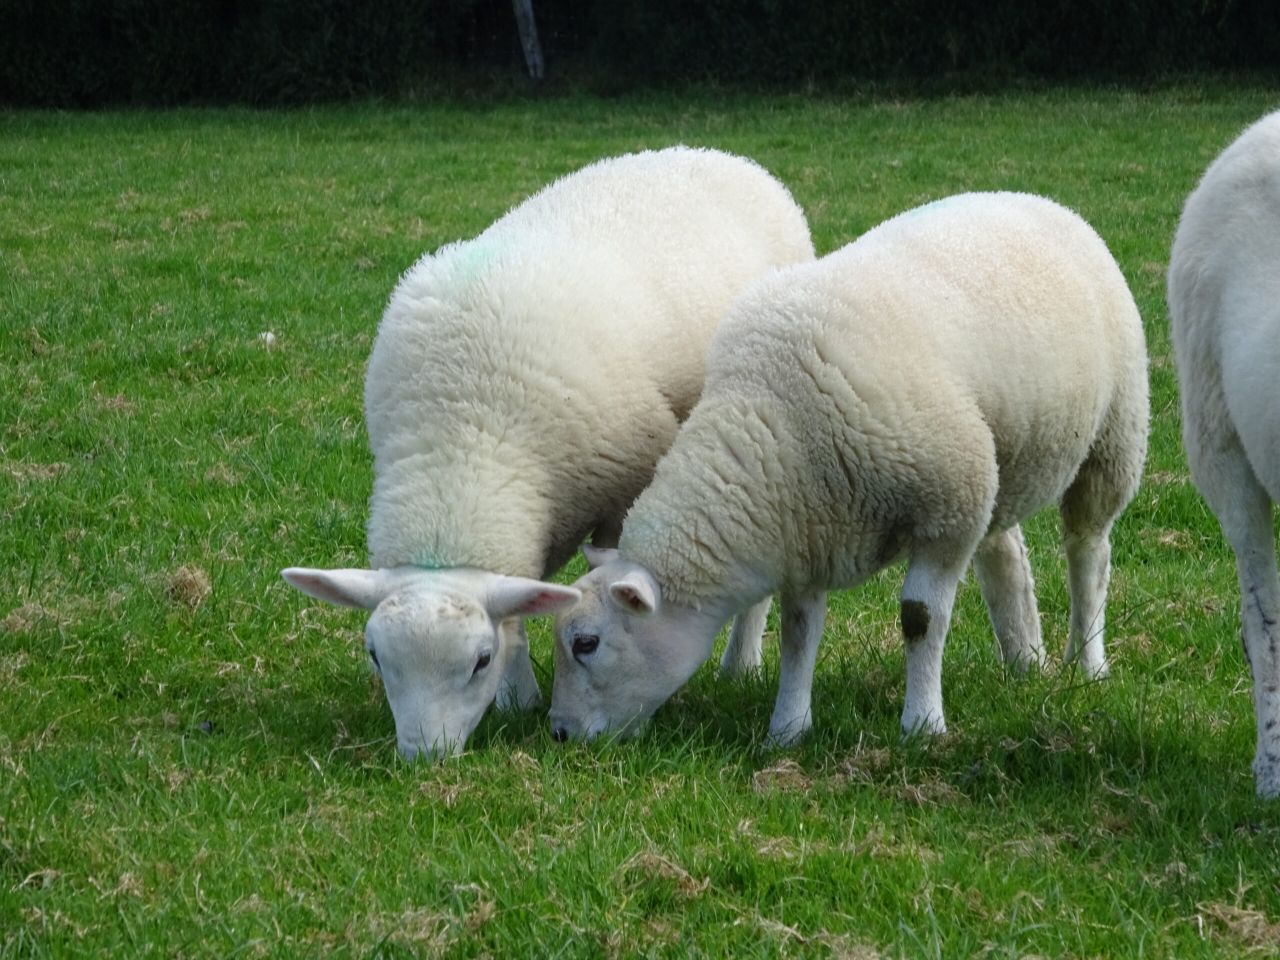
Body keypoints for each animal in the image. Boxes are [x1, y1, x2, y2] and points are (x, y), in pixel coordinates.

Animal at [281, 146, 815, 760]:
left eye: (479, 661)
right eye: (375, 657)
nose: (425, 758)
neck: (463, 444)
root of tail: (719, 156)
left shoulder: (621, 495)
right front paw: (519, 701)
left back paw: (740, 665)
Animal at [549, 191, 1149, 746]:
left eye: (586, 643)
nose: (558, 733)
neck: (770, 422)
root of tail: (1037, 200)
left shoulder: (945, 511)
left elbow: (920, 620)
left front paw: (922, 725)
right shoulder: (809, 532)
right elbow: (798, 633)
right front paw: (787, 729)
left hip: (1111, 436)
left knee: (1089, 553)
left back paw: (1086, 662)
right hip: (996, 463)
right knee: (1005, 555)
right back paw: (1023, 659)